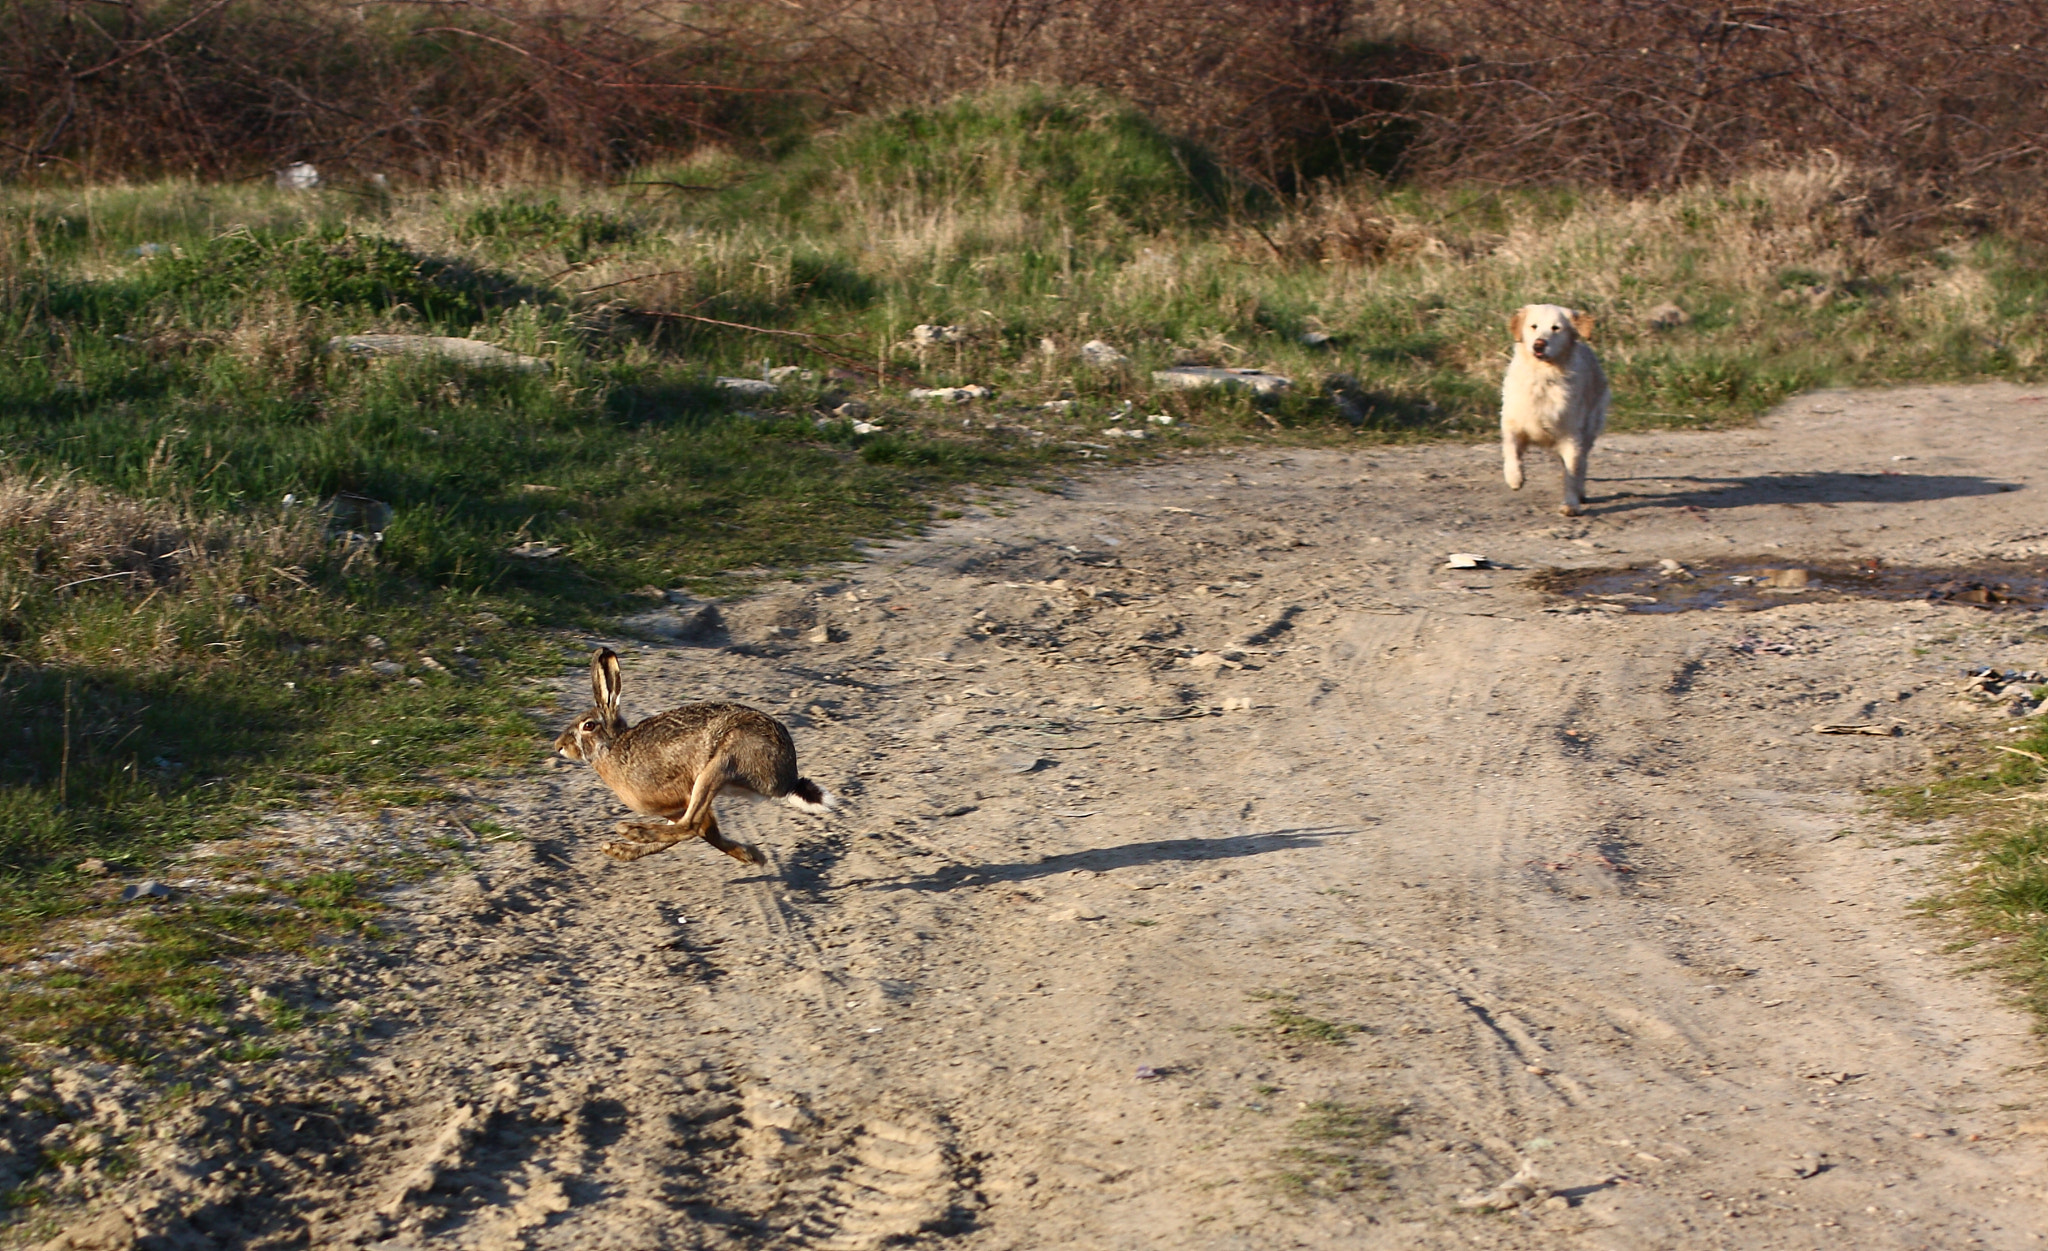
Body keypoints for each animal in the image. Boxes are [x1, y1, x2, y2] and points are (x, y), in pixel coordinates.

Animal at [1499, 305, 1605, 515]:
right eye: (1533, 326)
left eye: (1556, 328)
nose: (1539, 344)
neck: (1543, 376)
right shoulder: (1513, 423)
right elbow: (1511, 450)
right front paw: (1515, 477)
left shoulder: (1571, 435)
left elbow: (1572, 471)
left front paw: (1570, 504)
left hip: (1589, 430)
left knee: (1582, 464)